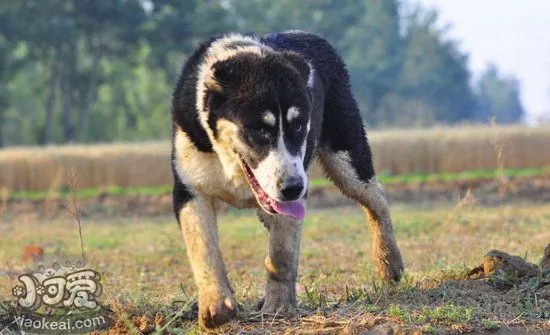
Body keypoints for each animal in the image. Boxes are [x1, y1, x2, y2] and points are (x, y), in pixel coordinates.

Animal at [170, 30, 404, 330]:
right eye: (258, 128)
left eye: (299, 125)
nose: (293, 188)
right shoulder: (189, 190)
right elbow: (202, 247)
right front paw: (217, 307)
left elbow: (281, 254)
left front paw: (279, 307)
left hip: (347, 154)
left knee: (376, 200)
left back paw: (389, 264)